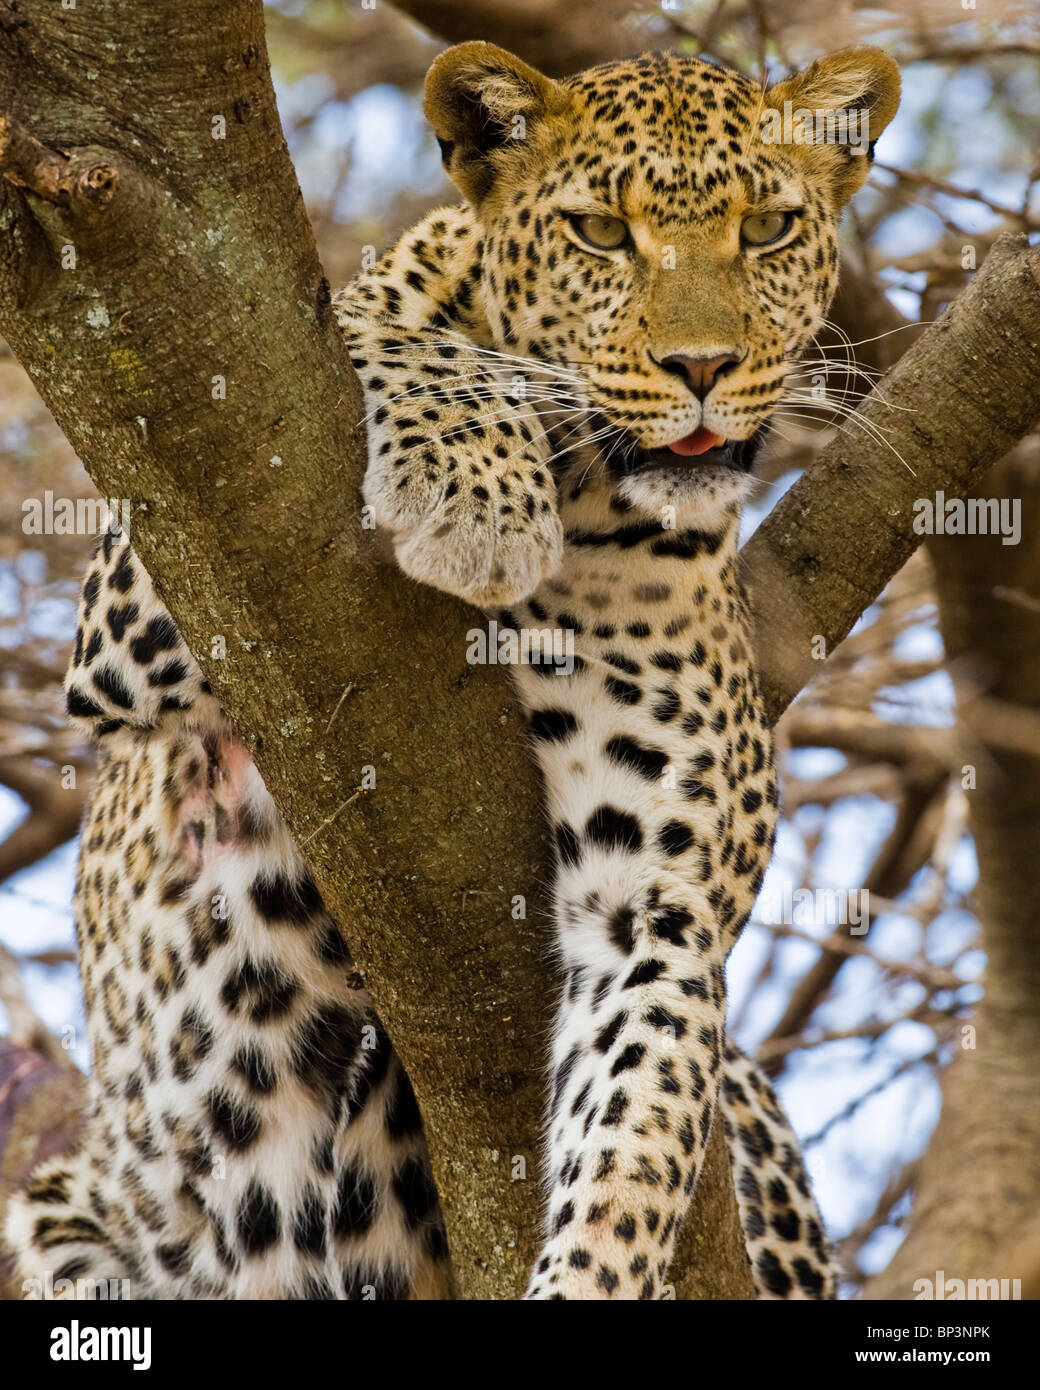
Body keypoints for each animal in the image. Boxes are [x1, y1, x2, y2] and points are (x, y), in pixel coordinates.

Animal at [5, 40, 900, 1300]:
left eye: (767, 227)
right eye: (600, 233)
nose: (701, 366)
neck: (589, 492)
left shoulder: (653, 913)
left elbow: (629, 1155)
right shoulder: (147, 596)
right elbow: (399, 334)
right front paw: (476, 491)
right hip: (66, 1213)